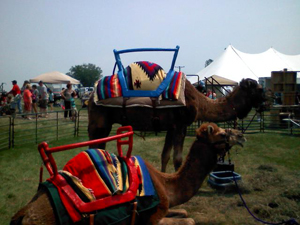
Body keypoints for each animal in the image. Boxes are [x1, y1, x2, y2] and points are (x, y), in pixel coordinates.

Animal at [10, 123, 245, 225]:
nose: (241, 135)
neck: (164, 183)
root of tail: (22, 214)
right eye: (222, 133)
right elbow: (190, 221)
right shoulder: (152, 220)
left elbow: (186, 213)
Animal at [88, 77, 264, 171]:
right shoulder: (181, 125)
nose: (265, 103)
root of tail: (90, 96)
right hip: (99, 123)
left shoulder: (171, 127)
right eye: (260, 89)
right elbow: (178, 159)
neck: (199, 101)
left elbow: (165, 156)